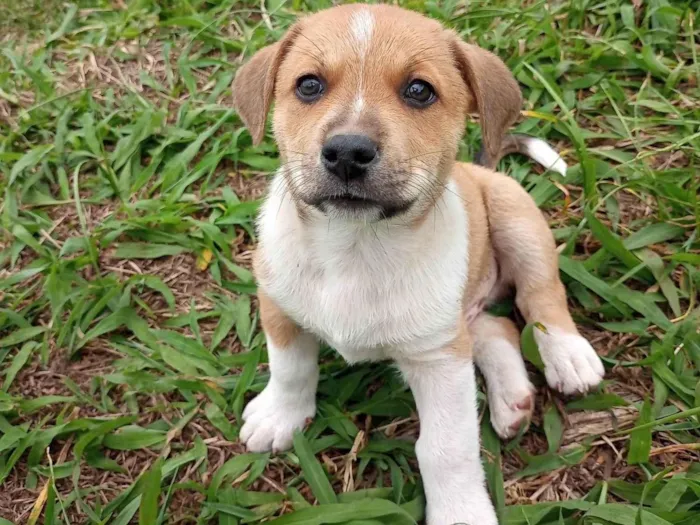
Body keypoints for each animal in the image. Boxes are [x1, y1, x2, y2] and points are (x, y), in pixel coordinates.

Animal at [232, 5, 604, 524]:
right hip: (460, 310)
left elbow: (446, 449)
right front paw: (279, 416)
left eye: (419, 91)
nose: (347, 153)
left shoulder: (439, 360)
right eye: (308, 85)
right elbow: (290, 369)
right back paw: (512, 399)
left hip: (515, 219)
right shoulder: (280, 306)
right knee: (496, 328)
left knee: (540, 296)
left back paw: (567, 356)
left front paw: (461, 513)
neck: (355, 247)